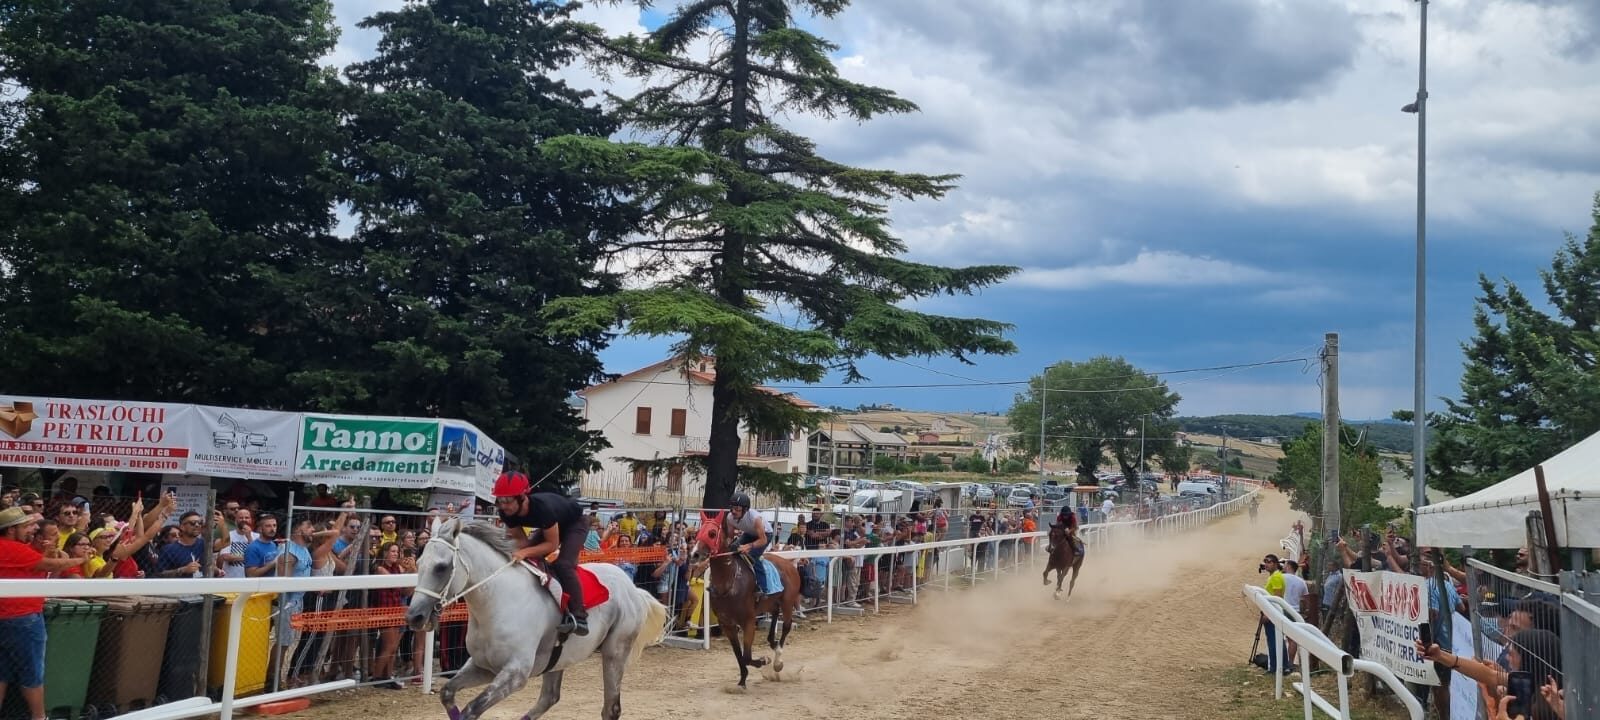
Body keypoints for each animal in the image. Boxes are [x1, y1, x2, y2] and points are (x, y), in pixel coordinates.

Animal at [412, 518, 668, 720]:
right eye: (418, 563)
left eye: (441, 567)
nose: (415, 616)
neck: (498, 602)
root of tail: (632, 588)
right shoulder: (484, 666)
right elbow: (447, 693)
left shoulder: (515, 674)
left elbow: (471, 710)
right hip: (560, 658)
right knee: (549, 698)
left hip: (615, 652)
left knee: (611, 708)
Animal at [691, 508, 806, 688]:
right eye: (697, 532)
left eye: (712, 533)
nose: (694, 554)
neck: (729, 580)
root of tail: (789, 564)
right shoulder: (727, 624)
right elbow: (739, 655)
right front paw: (742, 681)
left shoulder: (748, 621)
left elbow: (746, 656)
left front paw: (764, 660)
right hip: (770, 602)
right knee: (774, 614)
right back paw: (772, 643)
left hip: (787, 602)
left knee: (787, 626)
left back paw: (777, 660)